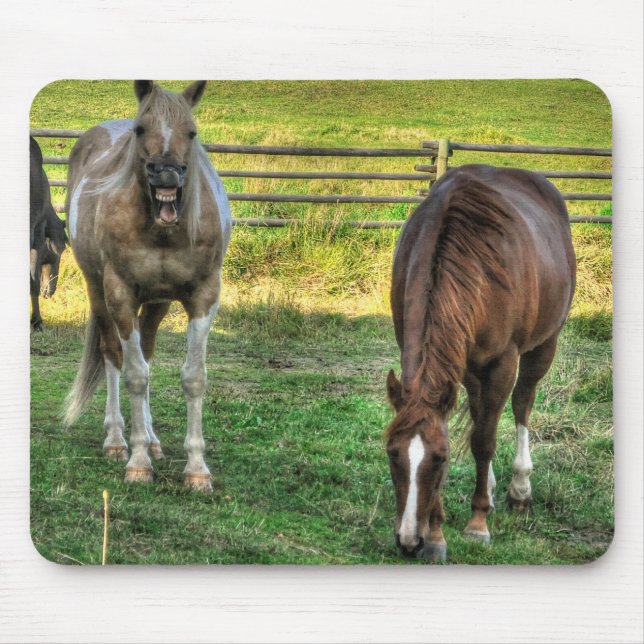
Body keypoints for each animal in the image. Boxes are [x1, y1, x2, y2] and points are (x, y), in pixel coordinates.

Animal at [63, 80, 231, 492]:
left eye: (192, 132)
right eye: (141, 130)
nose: (166, 174)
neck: (162, 230)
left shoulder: (203, 297)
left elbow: (193, 377)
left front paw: (197, 469)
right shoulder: (121, 295)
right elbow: (135, 375)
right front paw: (138, 463)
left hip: (156, 303)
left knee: (147, 351)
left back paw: (153, 440)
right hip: (99, 293)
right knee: (113, 356)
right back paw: (116, 440)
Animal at [385, 164, 576, 561]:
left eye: (440, 459)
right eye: (392, 454)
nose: (409, 541)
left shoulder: (502, 363)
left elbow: (485, 441)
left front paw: (477, 524)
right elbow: (474, 430)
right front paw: (436, 533)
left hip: (543, 345)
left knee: (521, 404)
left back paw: (519, 489)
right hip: (472, 368)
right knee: (479, 411)